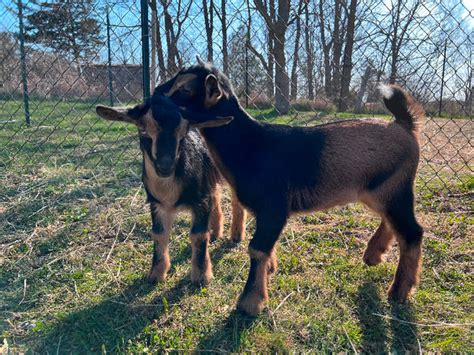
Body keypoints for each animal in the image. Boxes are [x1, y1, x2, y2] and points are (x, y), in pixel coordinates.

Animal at [95, 94, 246, 286]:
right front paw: (156, 273)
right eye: (143, 130)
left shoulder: (200, 199)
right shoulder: (156, 202)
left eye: (183, 134)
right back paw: (216, 231)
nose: (165, 166)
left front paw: (201, 277)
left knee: (236, 199)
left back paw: (236, 235)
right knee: (216, 195)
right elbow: (159, 234)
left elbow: (198, 234)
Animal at [155, 62, 426, 318]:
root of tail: (404, 125)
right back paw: (373, 255)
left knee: (412, 232)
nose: (155, 96)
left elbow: (256, 248)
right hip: (382, 191)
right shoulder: (264, 212)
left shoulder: (274, 208)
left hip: (394, 189)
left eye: (185, 90)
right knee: (392, 223)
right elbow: (265, 247)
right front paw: (270, 270)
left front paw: (250, 303)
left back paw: (399, 291)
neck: (249, 143)